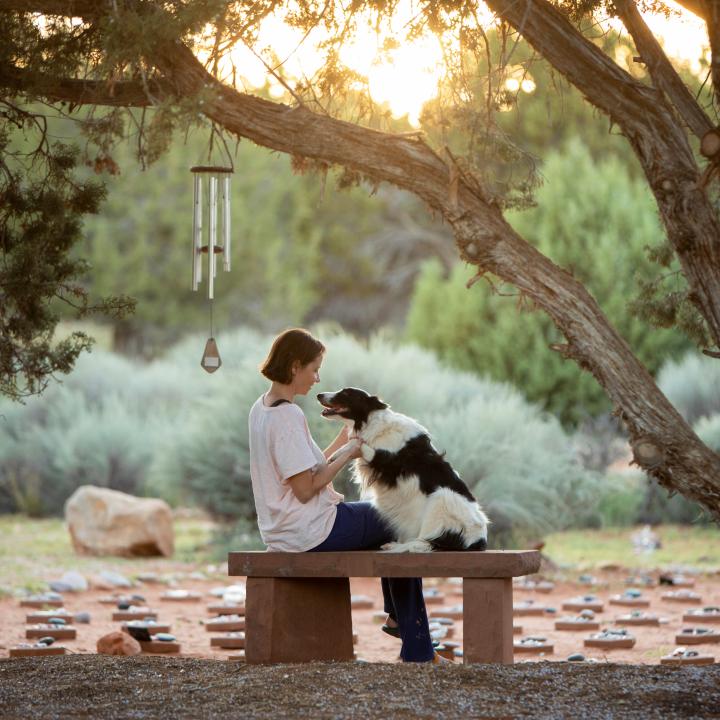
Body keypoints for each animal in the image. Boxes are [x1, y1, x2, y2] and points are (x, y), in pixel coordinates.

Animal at [316, 388, 490, 552]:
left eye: (346, 393)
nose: (319, 394)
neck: (375, 423)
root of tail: (479, 540)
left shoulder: (388, 461)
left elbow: (357, 443)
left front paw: (338, 453)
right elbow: (353, 443)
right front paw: (335, 455)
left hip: (442, 496)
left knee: (425, 543)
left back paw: (396, 546)